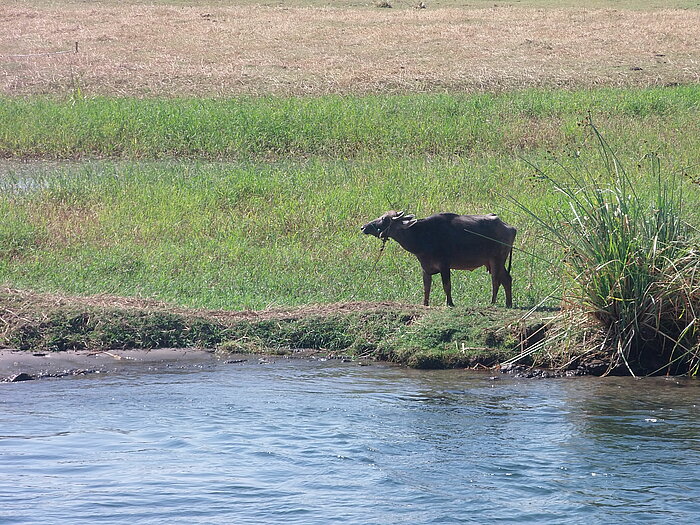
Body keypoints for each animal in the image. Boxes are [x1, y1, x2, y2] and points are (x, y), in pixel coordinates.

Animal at [360, 210, 516, 304]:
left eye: (384, 219)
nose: (363, 227)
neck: (423, 236)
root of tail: (510, 228)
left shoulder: (444, 266)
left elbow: (447, 286)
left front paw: (450, 303)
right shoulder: (425, 267)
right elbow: (426, 287)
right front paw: (425, 303)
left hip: (496, 260)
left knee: (495, 281)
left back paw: (493, 302)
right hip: (494, 262)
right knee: (506, 279)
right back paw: (508, 304)